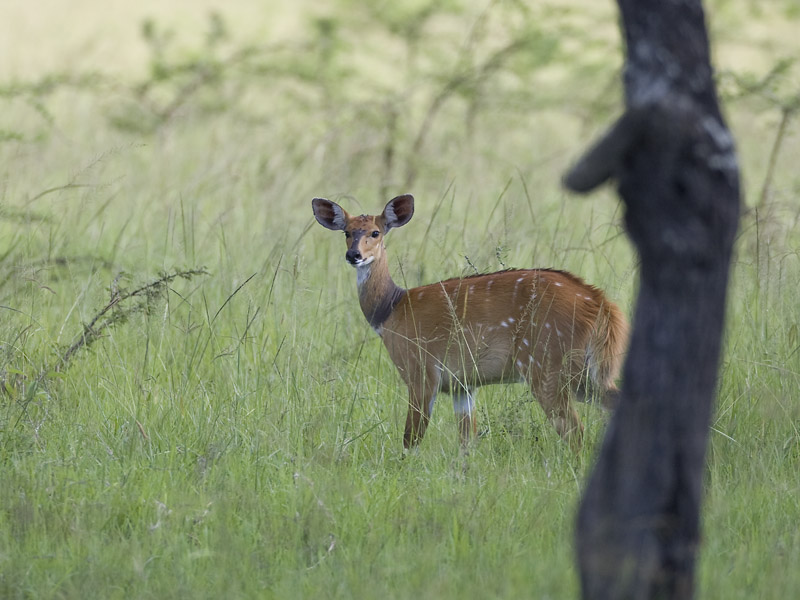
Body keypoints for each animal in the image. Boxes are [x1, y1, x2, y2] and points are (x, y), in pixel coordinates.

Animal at [310, 193, 628, 450]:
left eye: (375, 232)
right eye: (347, 232)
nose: (354, 255)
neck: (391, 310)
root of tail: (602, 306)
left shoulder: (421, 371)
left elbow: (411, 440)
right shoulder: (463, 384)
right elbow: (467, 442)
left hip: (546, 365)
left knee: (575, 432)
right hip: (584, 374)